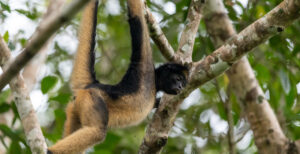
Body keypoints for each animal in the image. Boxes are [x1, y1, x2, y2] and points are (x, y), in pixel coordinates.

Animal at [47, 0, 188, 153]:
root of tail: (92, 84)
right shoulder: (145, 69)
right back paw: (49, 150)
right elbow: (136, 19)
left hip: (74, 107)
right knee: (98, 131)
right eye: (178, 79)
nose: (180, 87)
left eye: (183, 83)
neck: (155, 84)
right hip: (91, 98)